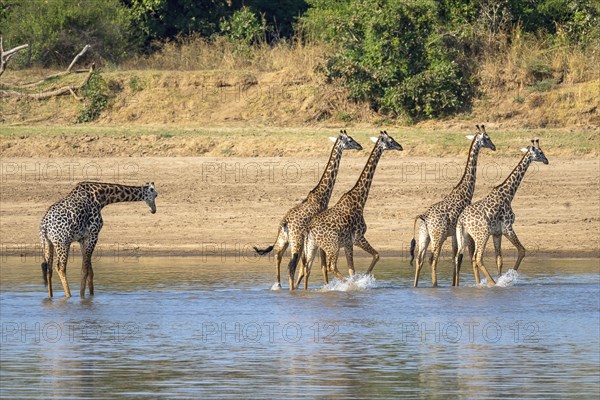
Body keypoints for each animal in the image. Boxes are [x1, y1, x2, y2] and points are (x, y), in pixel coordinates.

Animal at [252, 131, 360, 290]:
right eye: (350, 140)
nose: (360, 146)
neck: (321, 196)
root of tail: (284, 222)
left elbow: (307, 266)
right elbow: (320, 266)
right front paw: (324, 286)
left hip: (284, 240)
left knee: (278, 257)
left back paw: (279, 285)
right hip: (296, 241)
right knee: (291, 266)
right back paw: (291, 289)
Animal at [298, 131, 404, 288]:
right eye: (390, 141)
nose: (400, 146)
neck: (360, 200)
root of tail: (309, 229)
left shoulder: (350, 243)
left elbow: (357, 267)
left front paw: (362, 280)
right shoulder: (357, 238)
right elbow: (372, 258)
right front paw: (361, 281)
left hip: (312, 246)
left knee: (307, 268)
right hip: (332, 246)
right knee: (330, 266)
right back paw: (348, 285)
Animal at [410, 126, 494, 288]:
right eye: (487, 138)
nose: (494, 147)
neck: (464, 192)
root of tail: (424, 216)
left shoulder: (454, 234)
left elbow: (455, 258)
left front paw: (454, 285)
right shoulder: (461, 233)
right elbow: (463, 258)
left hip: (424, 237)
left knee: (419, 259)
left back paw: (416, 286)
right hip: (438, 237)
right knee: (432, 259)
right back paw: (435, 285)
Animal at [454, 139, 548, 286]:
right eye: (540, 152)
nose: (546, 160)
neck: (508, 194)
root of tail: (461, 221)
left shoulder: (497, 233)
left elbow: (499, 260)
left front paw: (502, 277)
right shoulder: (507, 227)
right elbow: (522, 251)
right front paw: (508, 278)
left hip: (466, 237)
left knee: (462, 258)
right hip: (482, 234)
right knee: (478, 257)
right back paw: (492, 283)